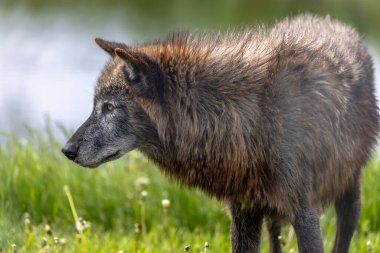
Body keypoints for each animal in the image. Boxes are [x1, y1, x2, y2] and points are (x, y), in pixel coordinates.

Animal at [61, 14, 378, 252]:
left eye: (109, 107)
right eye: (97, 106)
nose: (67, 150)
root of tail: (336, 24)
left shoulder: (304, 210)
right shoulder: (244, 209)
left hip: (349, 193)